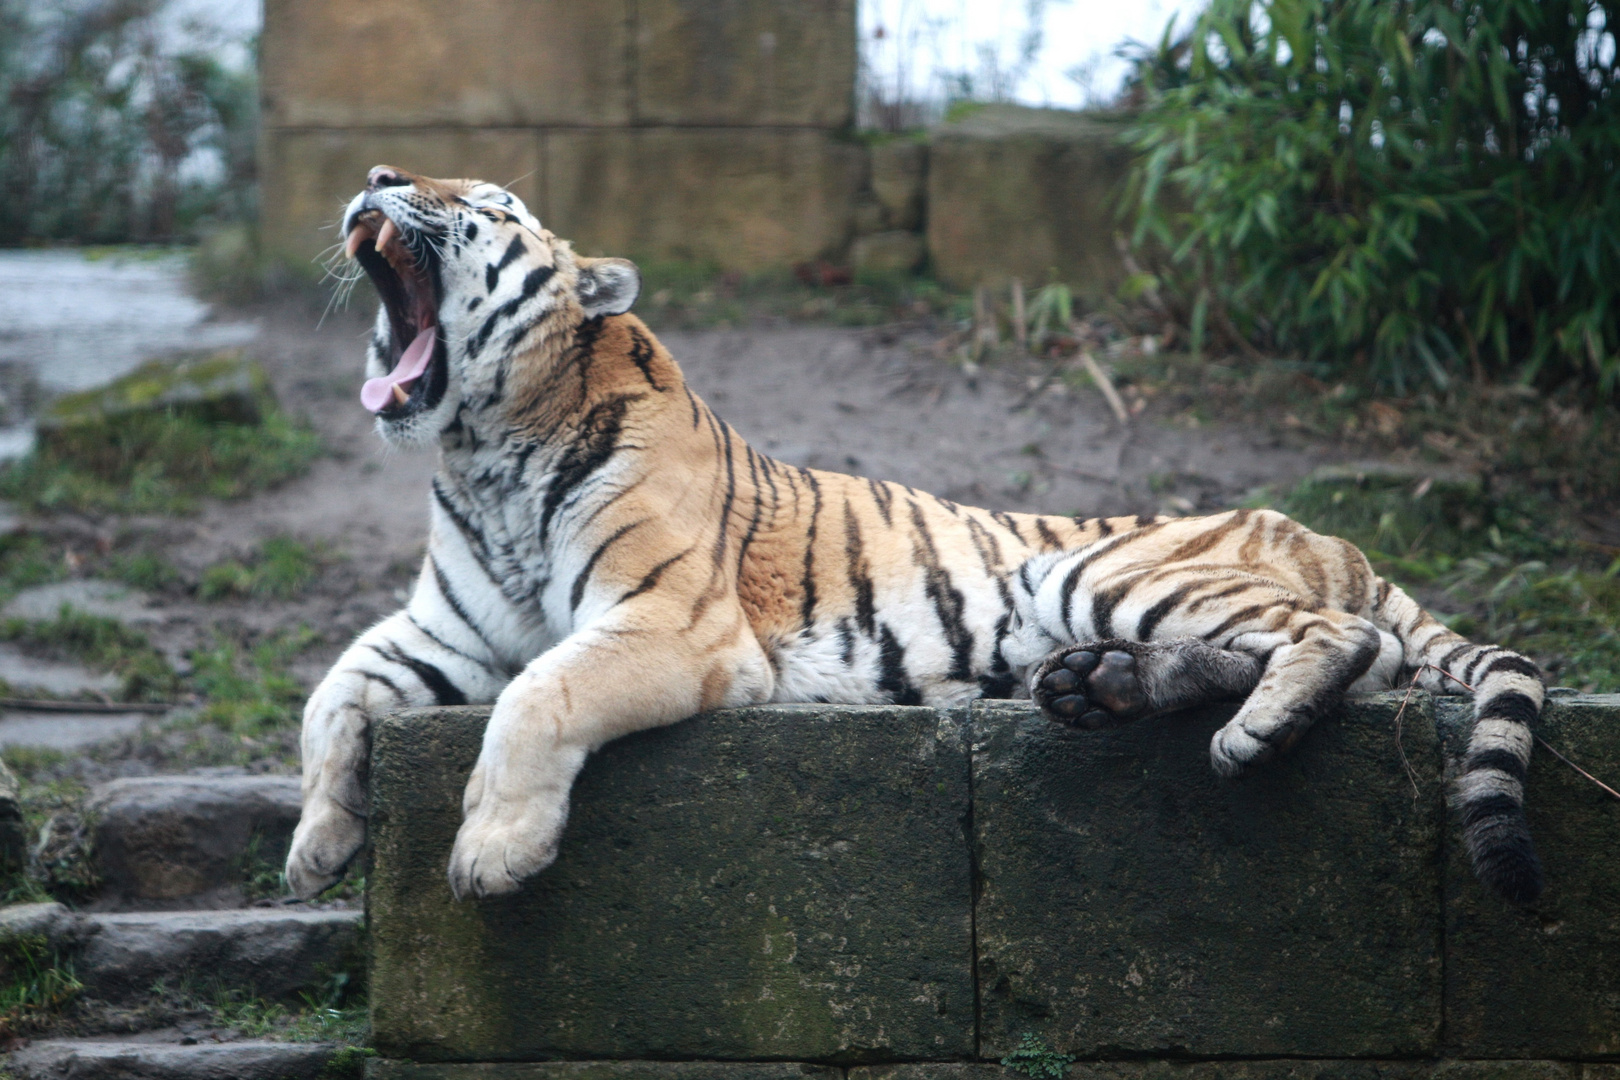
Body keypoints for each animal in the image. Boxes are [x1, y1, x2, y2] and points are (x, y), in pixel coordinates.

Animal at [285, 166, 1548, 913]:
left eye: (481, 199)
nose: (379, 177)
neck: (484, 449)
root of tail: (1334, 536)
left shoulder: (670, 623)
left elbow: (537, 696)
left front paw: (493, 853)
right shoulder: (443, 632)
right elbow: (331, 693)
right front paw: (318, 842)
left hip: (1092, 562)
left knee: (1337, 638)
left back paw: (1252, 731)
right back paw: (1102, 691)